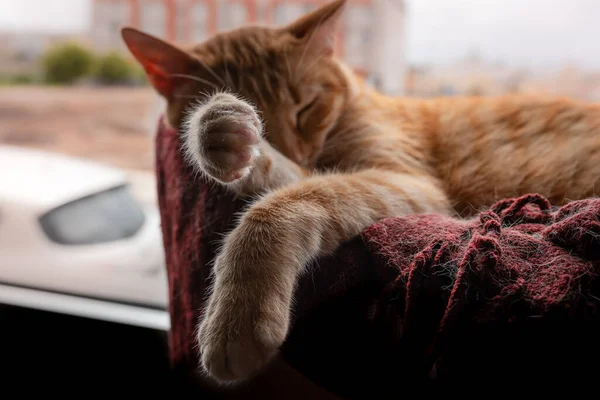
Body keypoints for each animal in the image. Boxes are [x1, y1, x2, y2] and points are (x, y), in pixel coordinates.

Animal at [120, 0, 600, 388]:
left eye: (306, 108)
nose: (300, 151)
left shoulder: (407, 181)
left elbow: (286, 204)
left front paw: (236, 316)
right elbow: (286, 174)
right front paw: (222, 135)